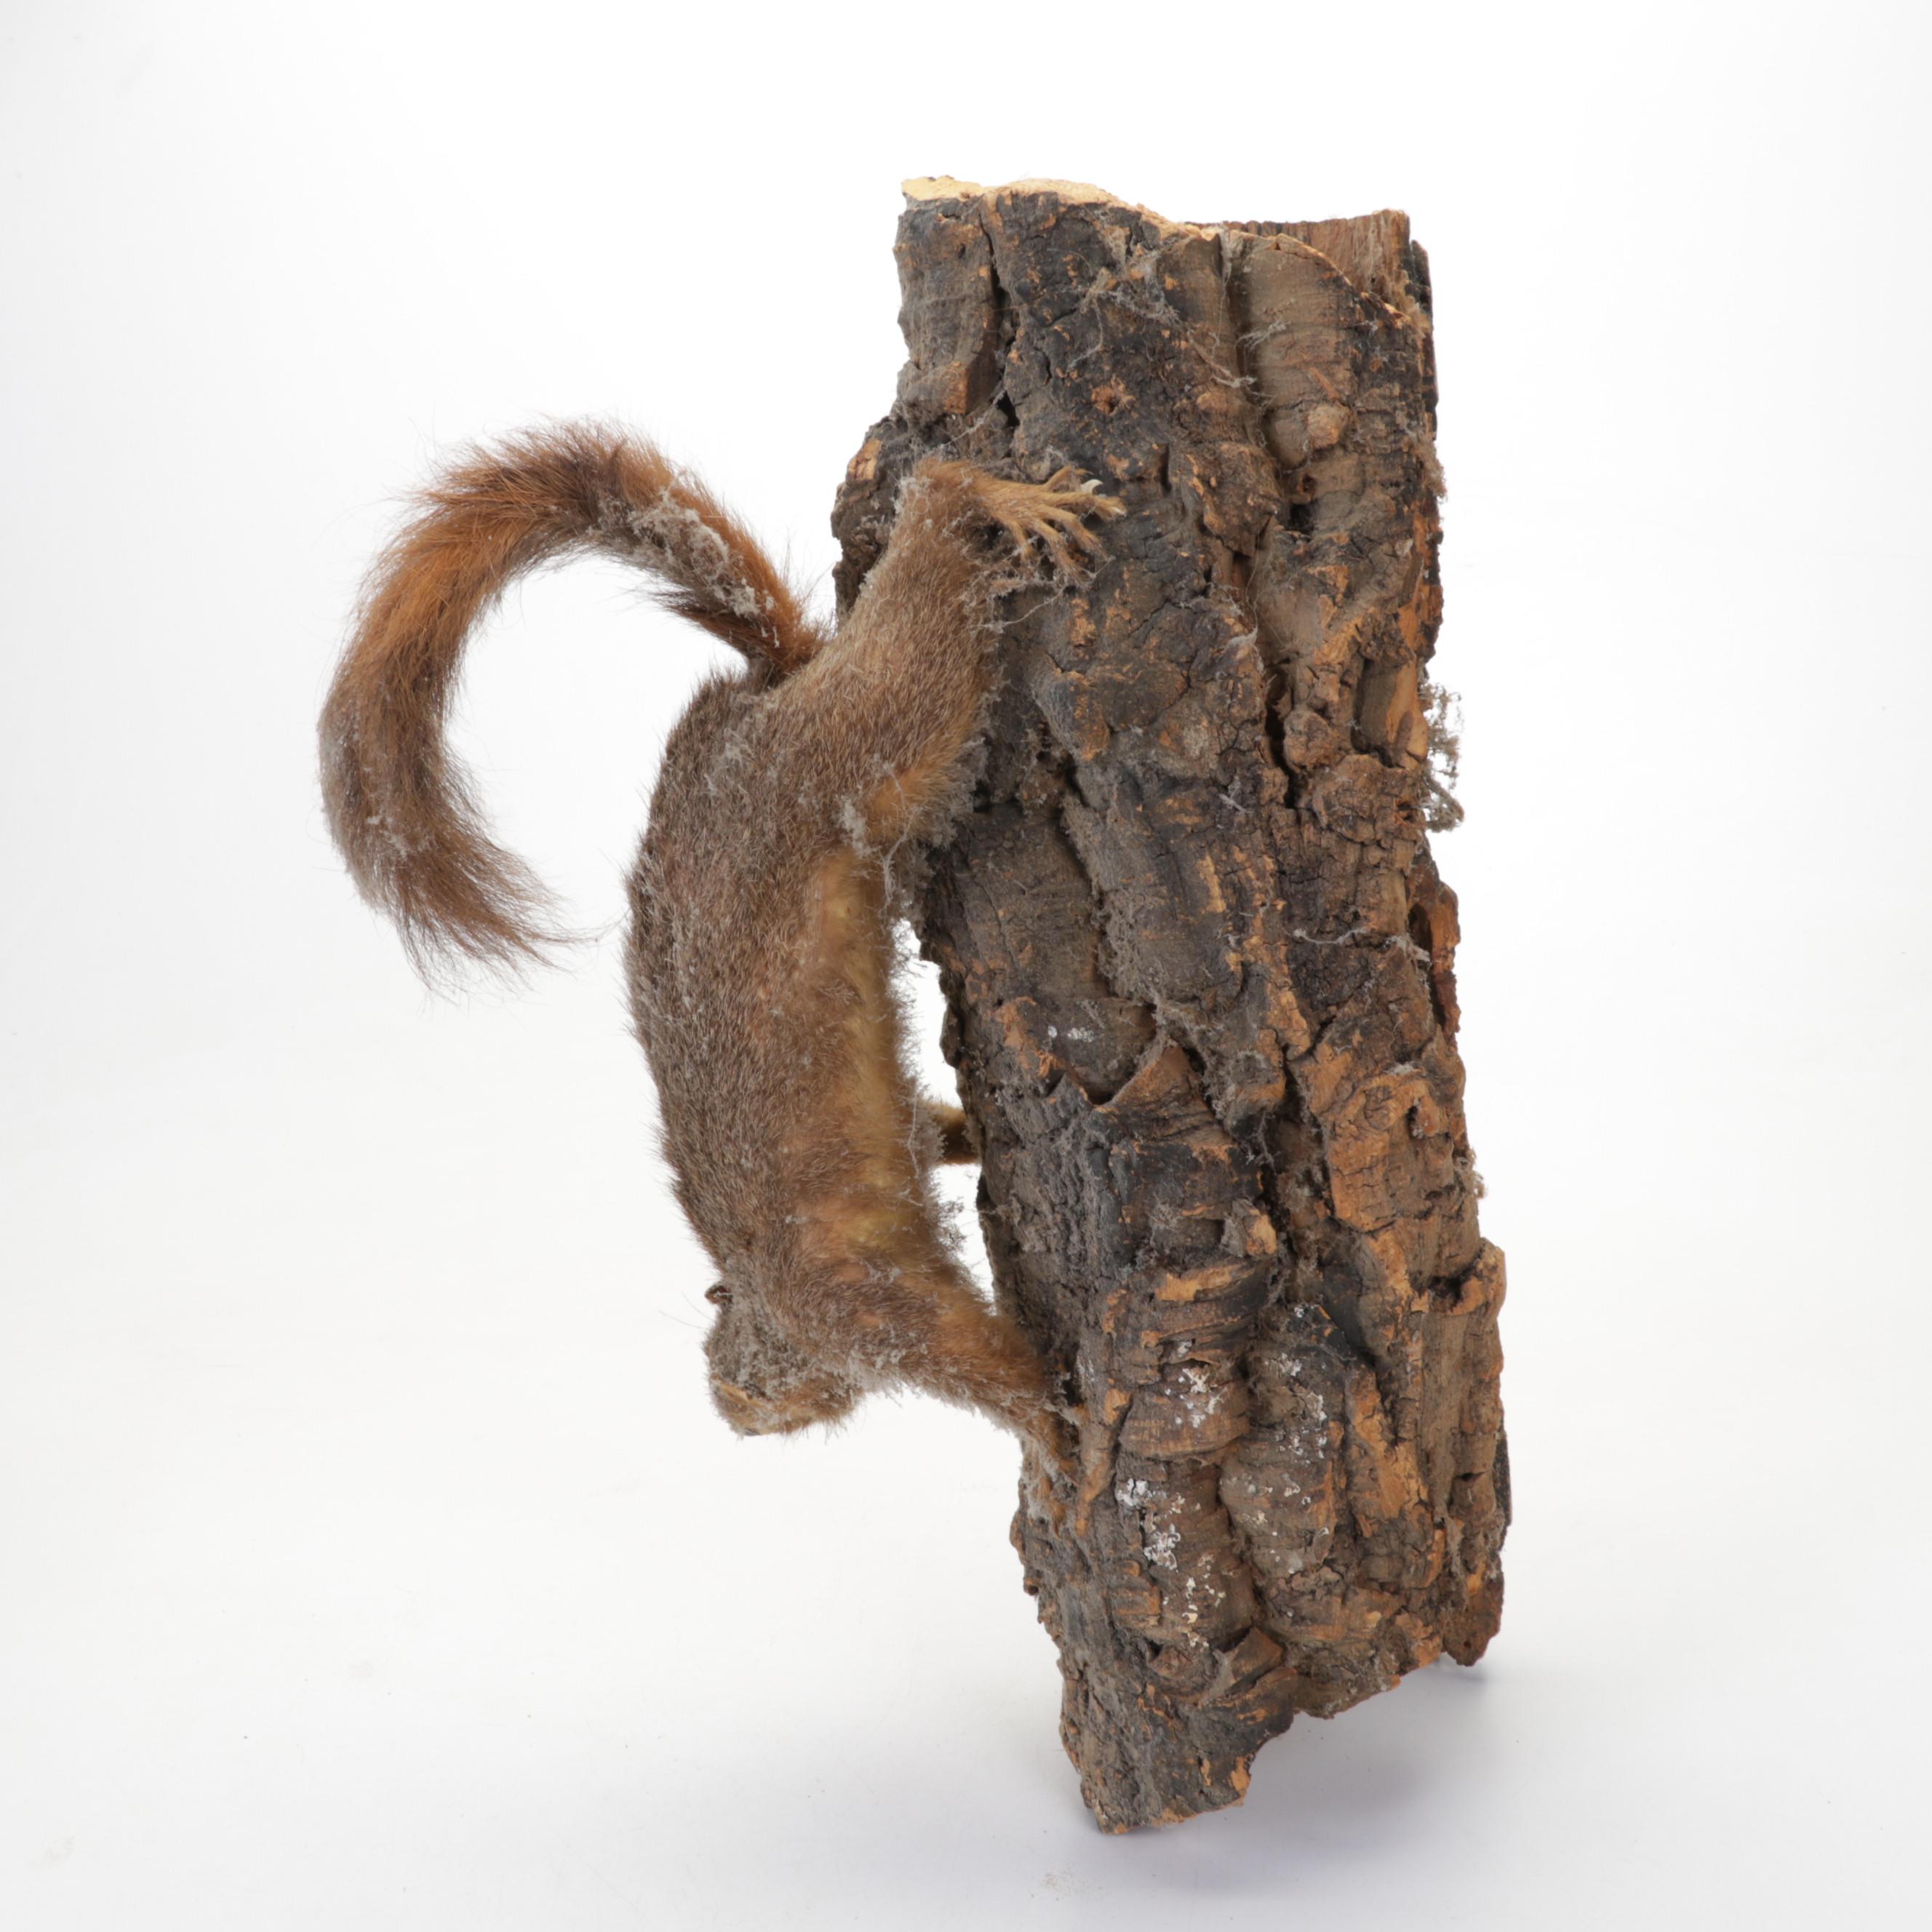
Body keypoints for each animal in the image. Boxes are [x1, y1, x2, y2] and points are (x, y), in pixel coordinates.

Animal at [319, 422, 1121, 1448]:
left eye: (734, 1374)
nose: (740, 1422)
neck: (767, 1299)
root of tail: (752, 708)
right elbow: (930, 1133)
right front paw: (974, 1133)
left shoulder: (858, 1303)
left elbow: (973, 1358)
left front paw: (1057, 1440)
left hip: (856, 745)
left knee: (919, 601)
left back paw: (983, 495)